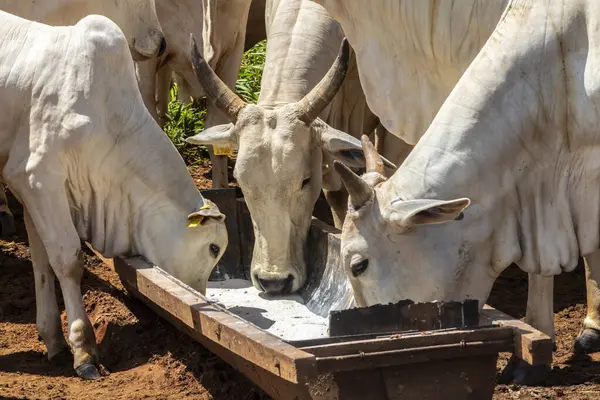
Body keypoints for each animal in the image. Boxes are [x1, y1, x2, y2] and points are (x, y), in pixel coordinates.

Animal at [0, 10, 227, 382]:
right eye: (213, 248)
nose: (198, 294)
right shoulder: (38, 176)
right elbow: (68, 259)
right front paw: (83, 349)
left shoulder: (28, 185)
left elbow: (41, 259)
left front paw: (53, 339)